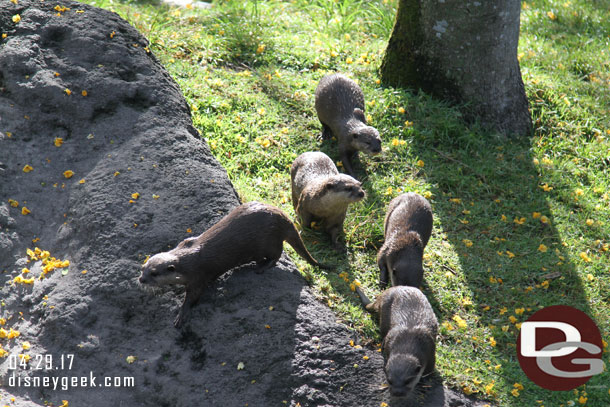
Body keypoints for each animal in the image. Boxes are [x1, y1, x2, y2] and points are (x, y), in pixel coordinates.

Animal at [139, 202, 328, 328]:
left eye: (154, 273)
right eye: (143, 268)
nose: (141, 280)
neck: (186, 259)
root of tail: (283, 218)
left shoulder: (198, 277)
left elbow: (193, 297)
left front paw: (181, 314)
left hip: (269, 240)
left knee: (277, 255)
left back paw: (261, 267)